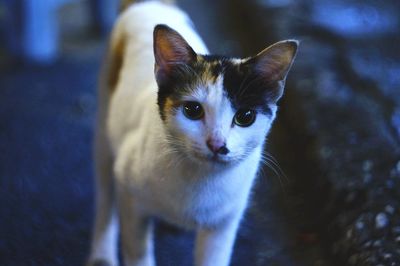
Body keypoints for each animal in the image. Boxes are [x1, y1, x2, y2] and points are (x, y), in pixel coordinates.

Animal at [88, 0, 296, 266]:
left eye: (245, 117)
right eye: (193, 110)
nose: (217, 144)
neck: (201, 181)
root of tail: (151, 4)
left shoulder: (224, 223)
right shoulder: (130, 198)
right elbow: (137, 252)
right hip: (104, 128)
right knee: (105, 199)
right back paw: (102, 254)